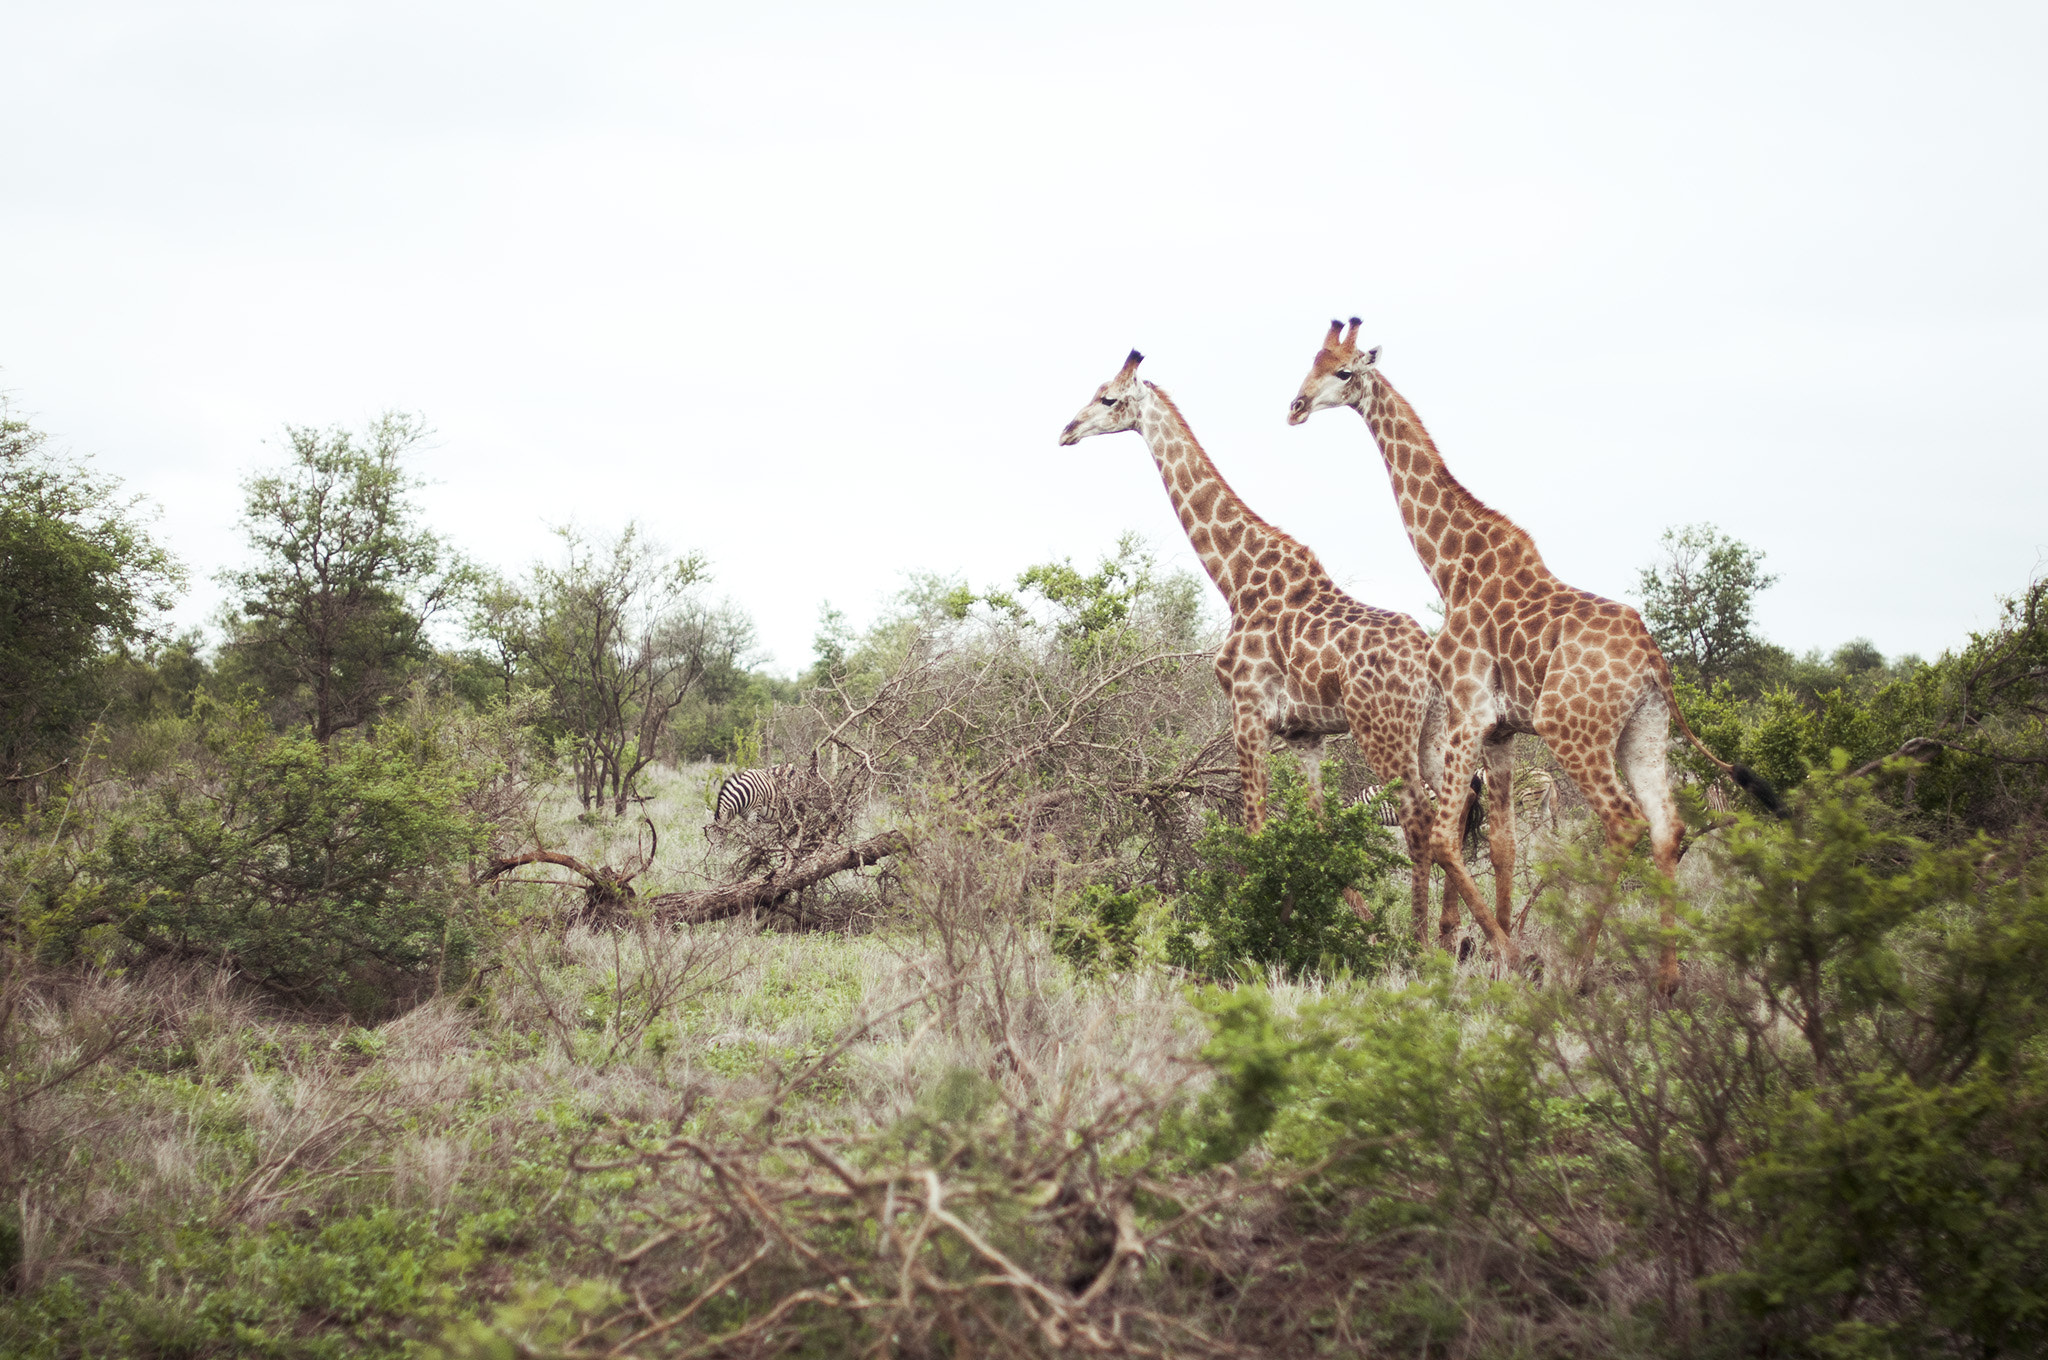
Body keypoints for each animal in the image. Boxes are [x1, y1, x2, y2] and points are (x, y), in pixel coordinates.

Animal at [1064, 350, 1515, 966]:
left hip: (1382, 730)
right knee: (1457, 810)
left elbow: (1255, 828)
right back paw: (1452, 939)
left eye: (1107, 398)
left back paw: (1428, 944)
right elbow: (1316, 833)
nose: (1067, 430)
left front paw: (1251, 937)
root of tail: (1428, 663)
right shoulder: (1306, 735)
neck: (1236, 576)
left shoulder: (1247, 712)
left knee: (1421, 820)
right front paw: (1336, 927)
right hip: (1433, 729)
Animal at [1286, 323, 1785, 995]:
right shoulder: (1501, 731)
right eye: (1312, 361)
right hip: (1644, 730)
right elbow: (1502, 845)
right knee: (1667, 827)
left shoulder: (1467, 709)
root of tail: (1654, 661)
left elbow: (1445, 835)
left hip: (1573, 727)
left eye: (1343, 372)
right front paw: (1499, 957)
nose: (1295, 406)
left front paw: (1500, 954)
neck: (1451, 568)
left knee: (1623, 822)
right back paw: (1666, 981)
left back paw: (1577, 970)